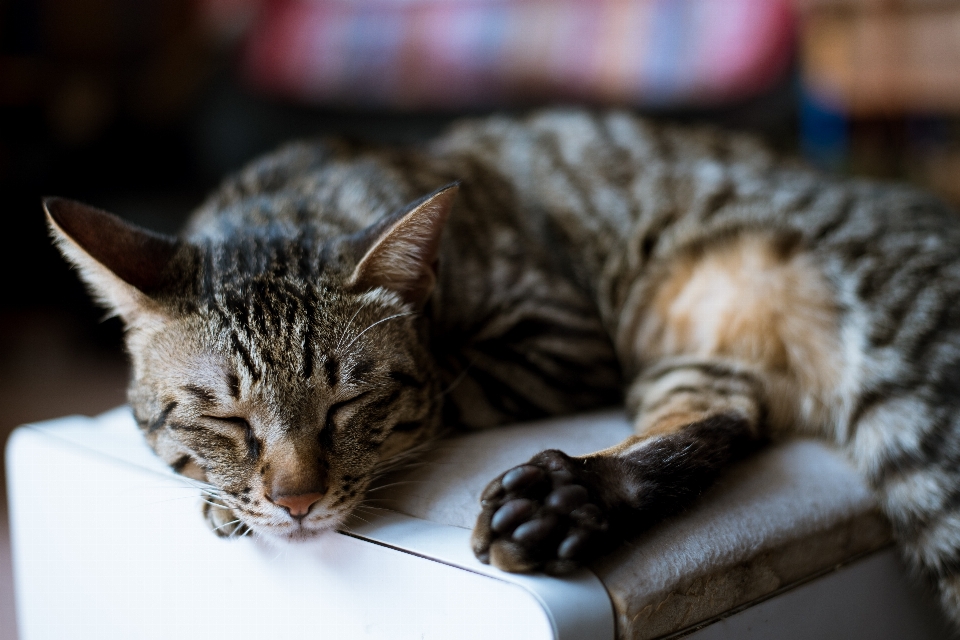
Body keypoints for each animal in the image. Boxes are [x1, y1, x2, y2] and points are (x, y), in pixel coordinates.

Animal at [48, 110, 960, 624]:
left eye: (347, 405)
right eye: (225, 418)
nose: (298, 501)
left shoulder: (562, 337)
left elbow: (451, 385)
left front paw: (239, 501)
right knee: (723, 420)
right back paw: (567, 500)